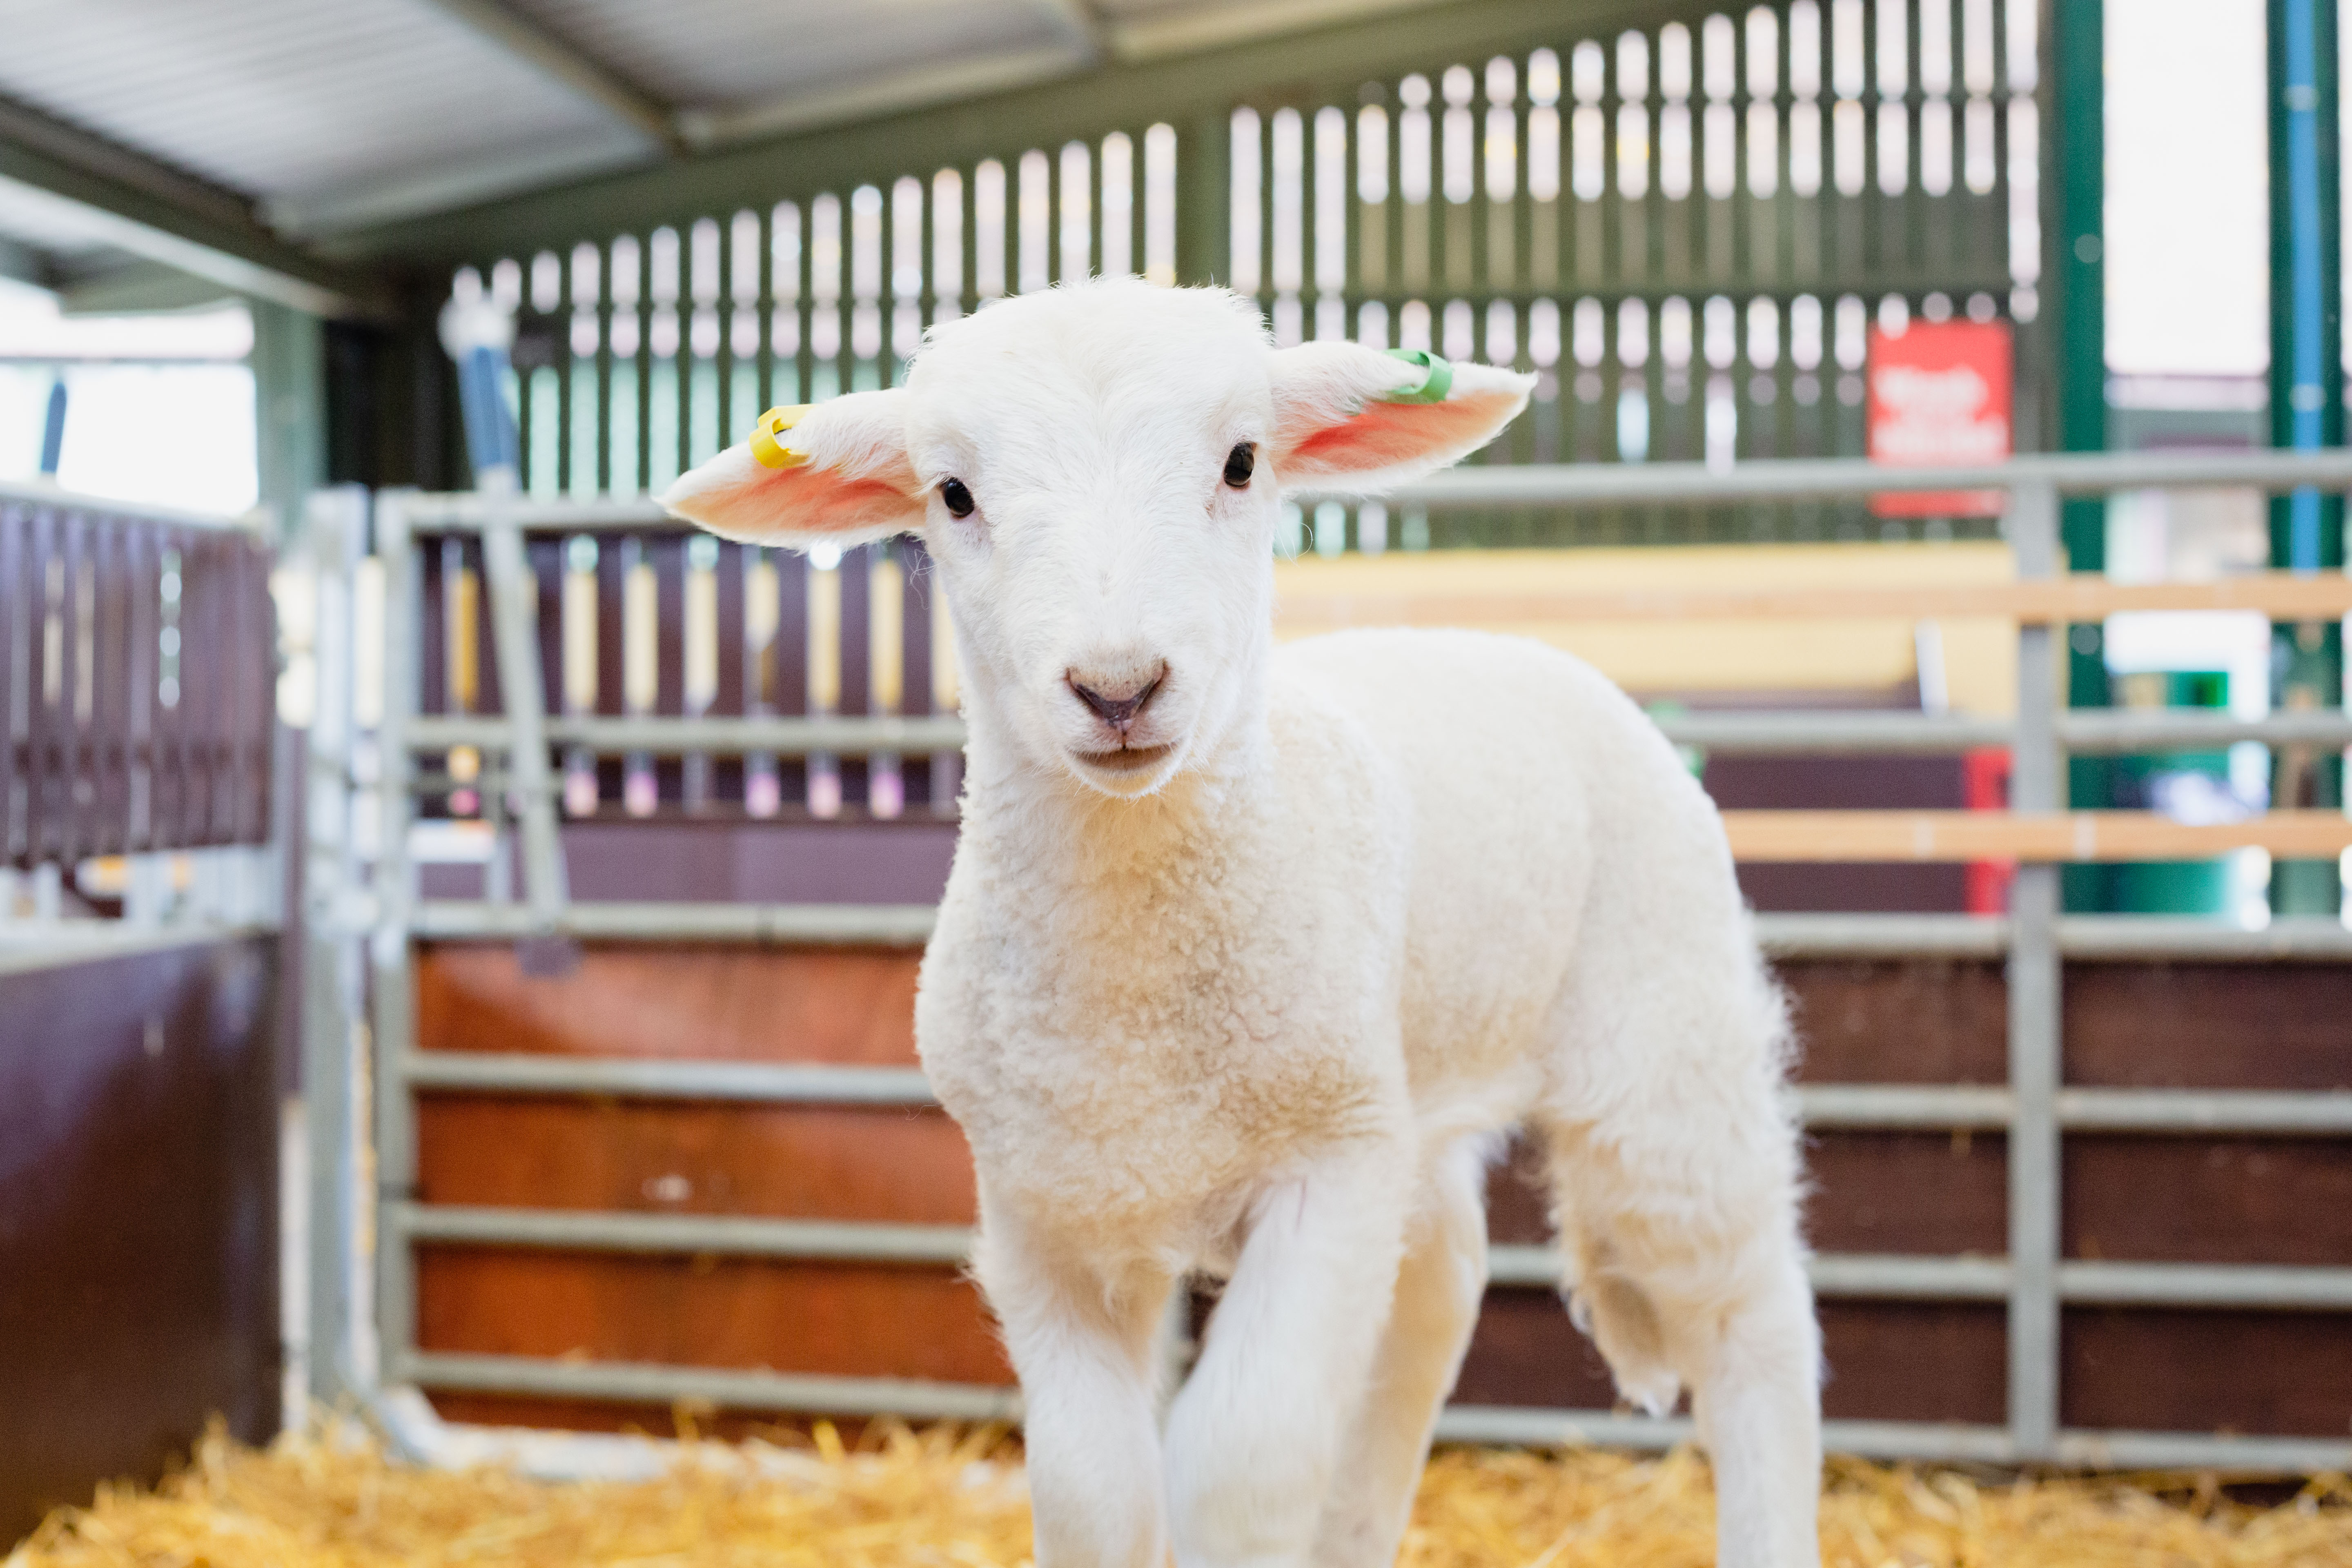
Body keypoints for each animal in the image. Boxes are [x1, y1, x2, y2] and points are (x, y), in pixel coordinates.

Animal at [663, 277, 1821, 1568]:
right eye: (954, 493)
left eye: (1239, 462)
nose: (1118, 687)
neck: (1135, 983)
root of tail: (1512, 645)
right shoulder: (1044, 1212)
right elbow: (1094, 1495)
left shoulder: (1328, 1171)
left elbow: (1236, 1465)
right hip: (1411, 1094)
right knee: (1440, 1290)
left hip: (1663, 1049)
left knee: (1751, 1320)